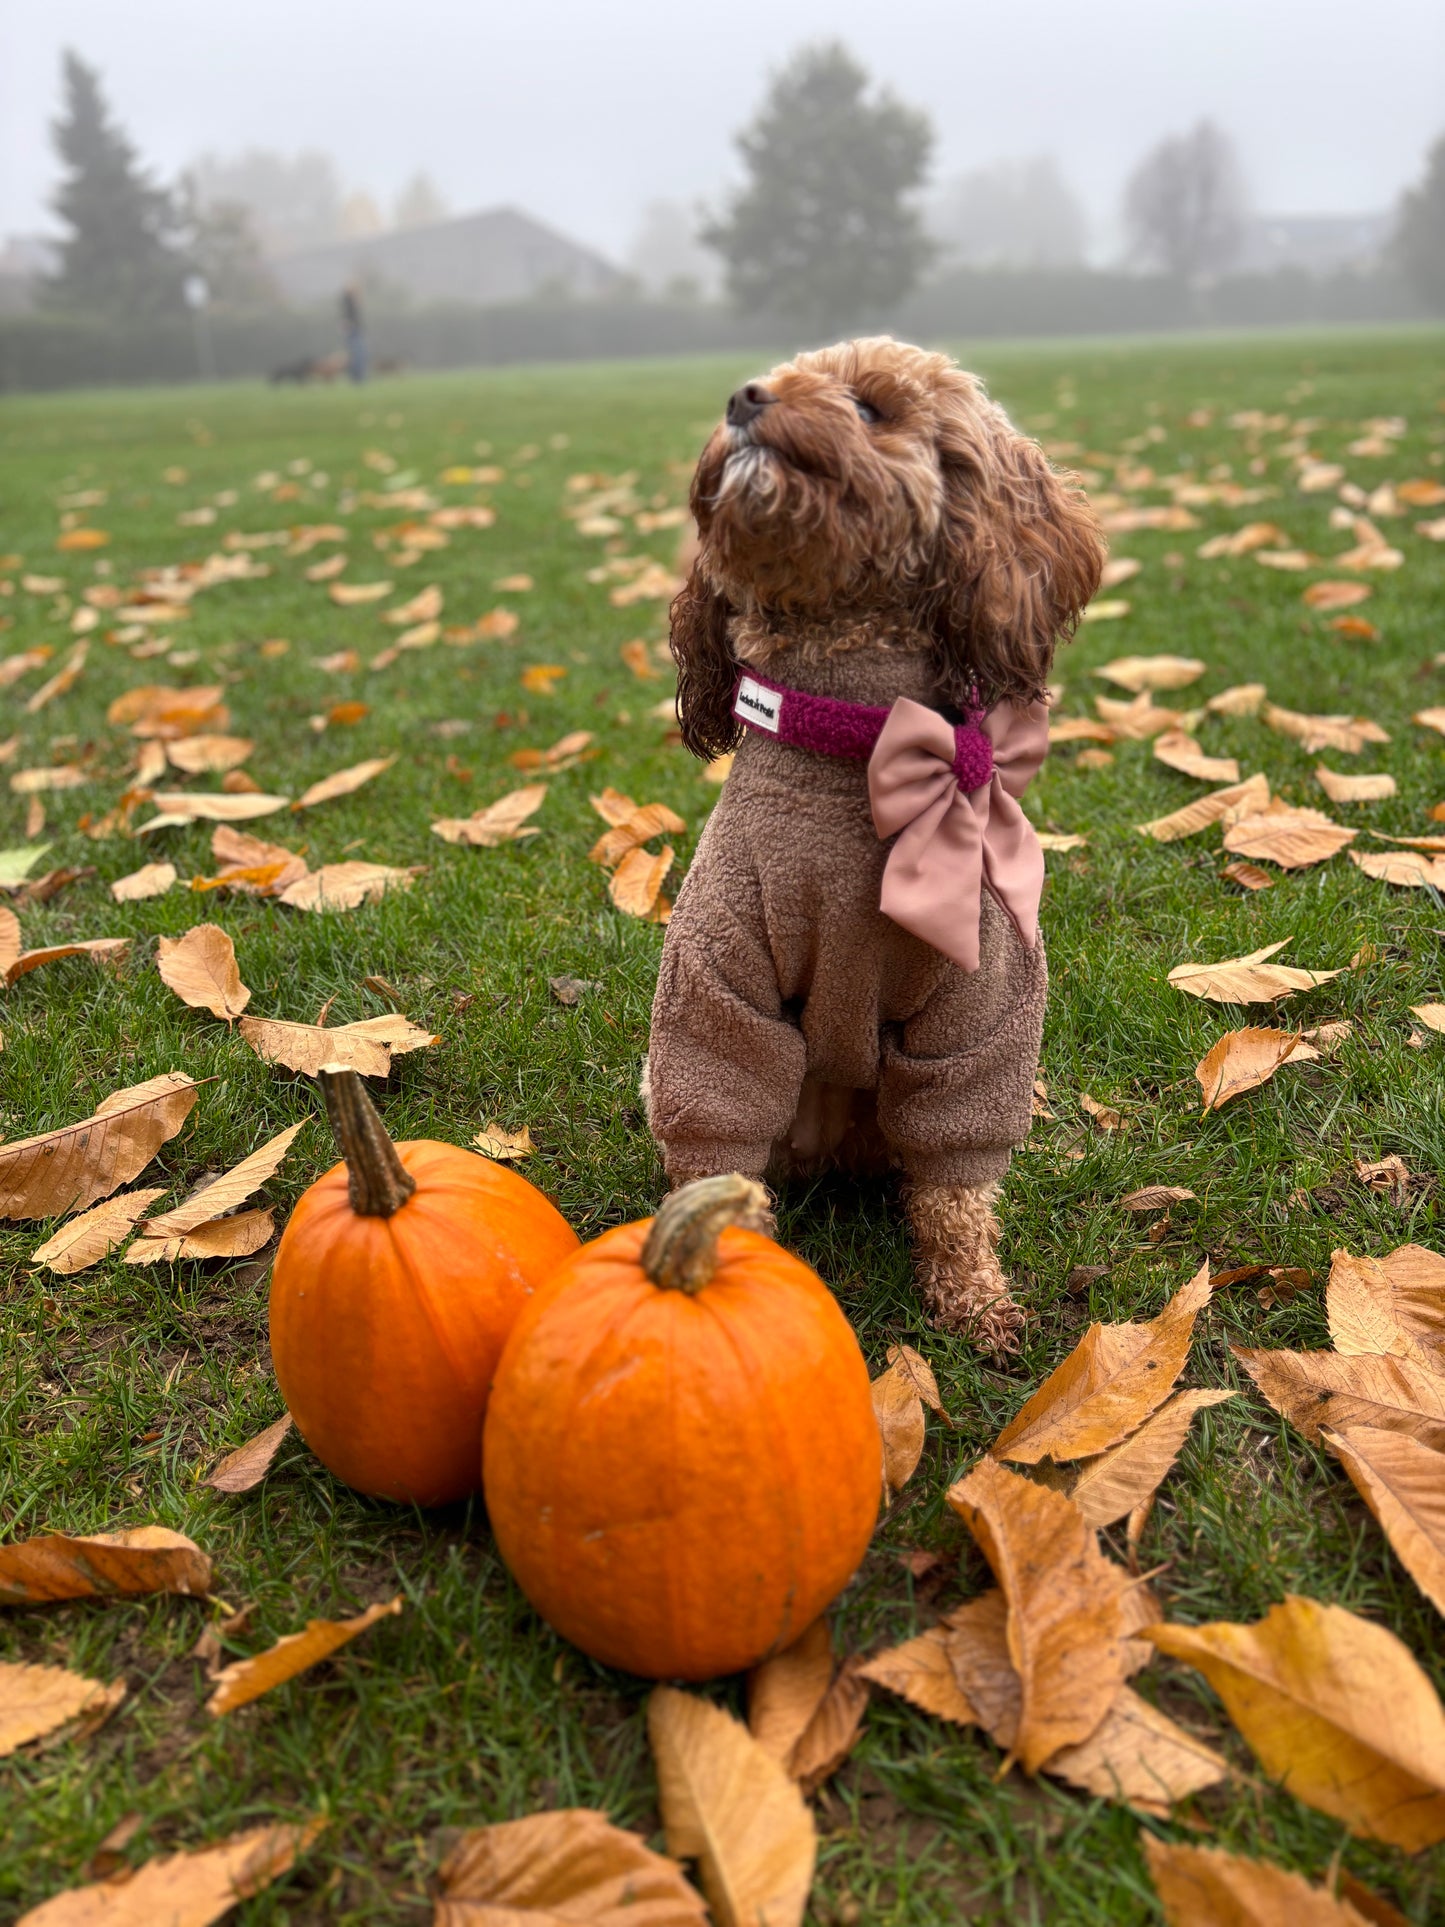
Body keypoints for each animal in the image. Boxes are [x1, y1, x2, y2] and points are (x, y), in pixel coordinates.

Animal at [643, 335, 1109, 1356]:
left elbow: (956, 1184)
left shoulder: (982, 1002)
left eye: (868, 407)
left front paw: (975, 1300)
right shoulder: (714, 979)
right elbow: (721, 1145)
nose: (744, 396)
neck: (851, 745)